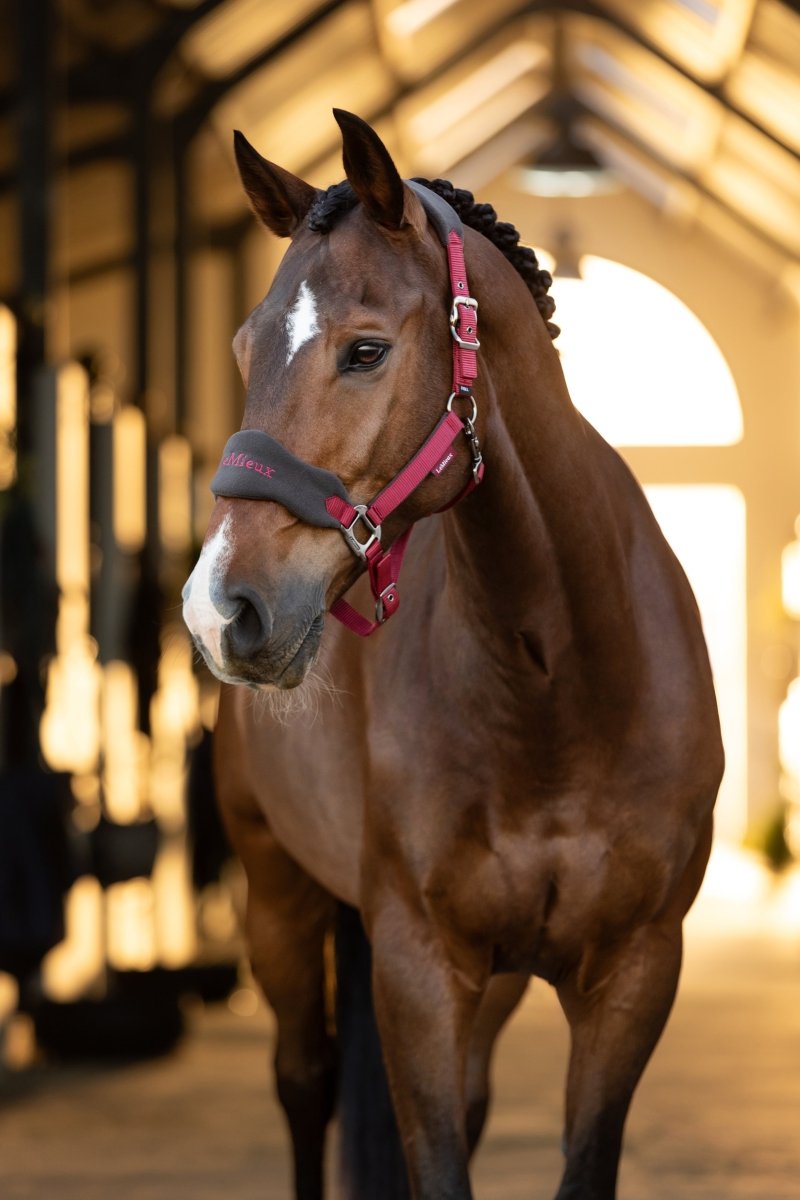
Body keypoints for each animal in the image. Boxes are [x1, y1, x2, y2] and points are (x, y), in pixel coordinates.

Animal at [183, 110, 724, 1200]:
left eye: (364, 350)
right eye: (243, 346)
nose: (220, 609)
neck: (560, 687)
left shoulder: (634, 974)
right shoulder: (417, 969)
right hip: (279, 901)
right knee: (303, 1083)